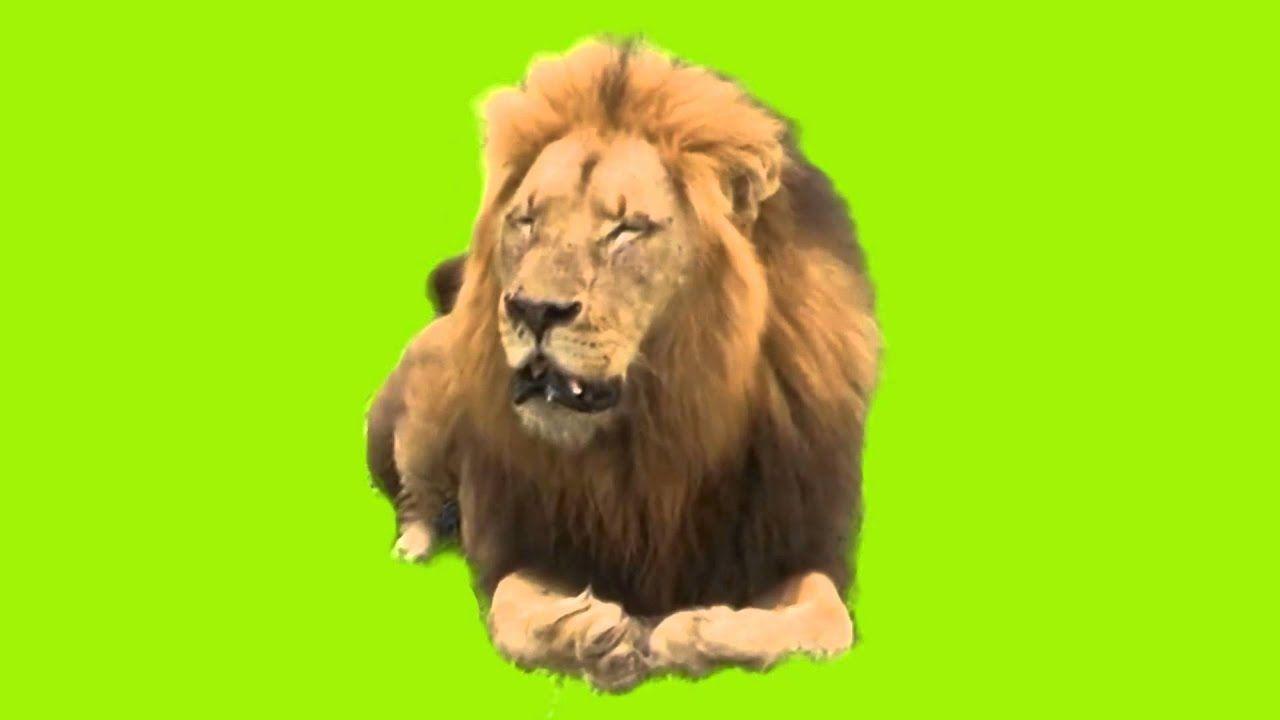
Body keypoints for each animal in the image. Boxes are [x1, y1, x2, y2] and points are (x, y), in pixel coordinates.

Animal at [365, 40, 880, 691]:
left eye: (626, 229)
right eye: (526, 220)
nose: (533, 309)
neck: (653, 442)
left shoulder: (799, 540)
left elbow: (826, 620)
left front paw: (697, 631)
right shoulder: (523, 538)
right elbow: (510, 611)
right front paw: (589, 634)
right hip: (421, 428)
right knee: (416, 499)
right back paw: (414, 546)